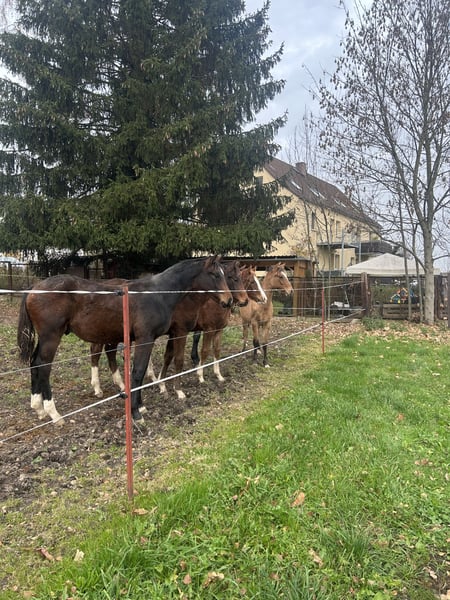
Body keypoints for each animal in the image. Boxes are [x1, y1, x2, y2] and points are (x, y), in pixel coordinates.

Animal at [17, 256, 233, 424]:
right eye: (215, 275)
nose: (229, 300)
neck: (157, 293)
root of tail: (34, 288)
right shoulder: (146, 338)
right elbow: (137, 373)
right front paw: (136, 413)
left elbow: (141, 371)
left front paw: (141, 406)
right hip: (51, 337)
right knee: (43, 366)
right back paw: (54, 413)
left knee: (34, 363)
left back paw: (38, 408)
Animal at [149, 260, 251, 399]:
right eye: (233, 278)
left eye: (241, 279)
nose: (244, 300)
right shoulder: (208, 330)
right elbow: (205, 351)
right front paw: (200, 376)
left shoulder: (218, 330)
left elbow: (216, 350)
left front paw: (218, 375)